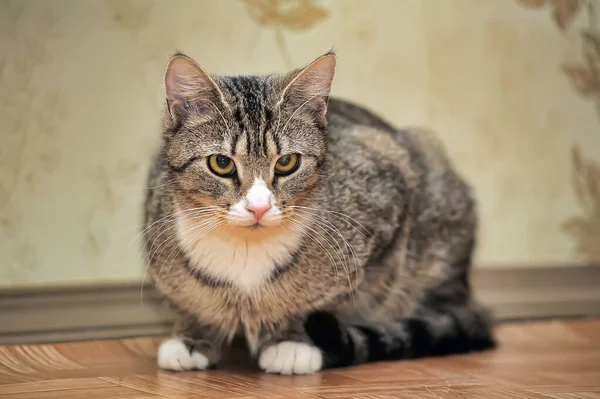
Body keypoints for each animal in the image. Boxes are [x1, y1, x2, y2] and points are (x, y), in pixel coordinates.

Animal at [143, 50, 494, 376]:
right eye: (221, 163)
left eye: (287, 162)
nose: (259, 206)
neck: (246, 250)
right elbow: (192, 301)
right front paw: (192, 337)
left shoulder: (387, 195)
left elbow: (324, 300)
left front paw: (291, 341)